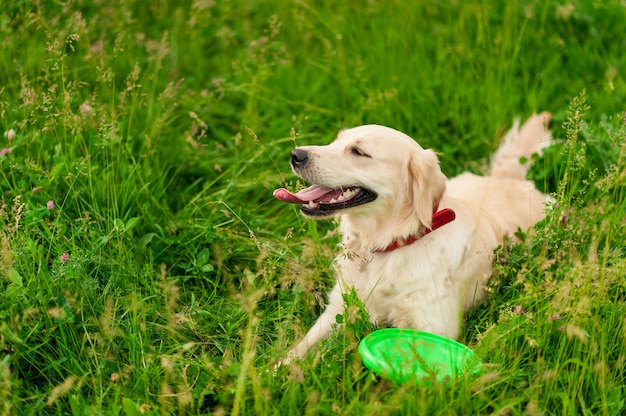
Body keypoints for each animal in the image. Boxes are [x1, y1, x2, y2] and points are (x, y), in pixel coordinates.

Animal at [272, 112, 552, 362]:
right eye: (334, 142)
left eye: (358, 152)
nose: (296, 155)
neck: (390, 245)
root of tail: (505, 177)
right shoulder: (337, 309)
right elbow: (297, 351)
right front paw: (273, 372)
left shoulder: (434, 326)